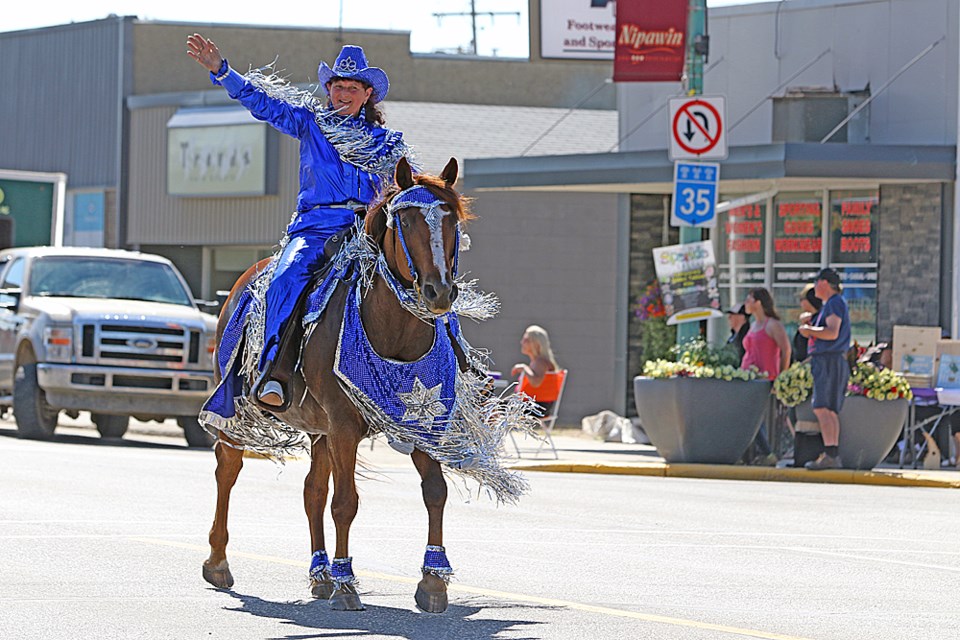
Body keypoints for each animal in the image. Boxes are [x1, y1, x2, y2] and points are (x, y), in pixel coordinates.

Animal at [202, 158, 468, 612]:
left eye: (452, 220)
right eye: (406, 219)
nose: (439, 291)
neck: (392, 331)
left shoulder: (422, 422)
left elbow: (435, 491)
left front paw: (433, 582)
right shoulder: (344, 425)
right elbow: (345, 503)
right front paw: (347, 583)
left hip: (318, 427)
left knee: (312, 491)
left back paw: (319, 573)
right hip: (238, 407)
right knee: (229, 469)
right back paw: (219, 562)